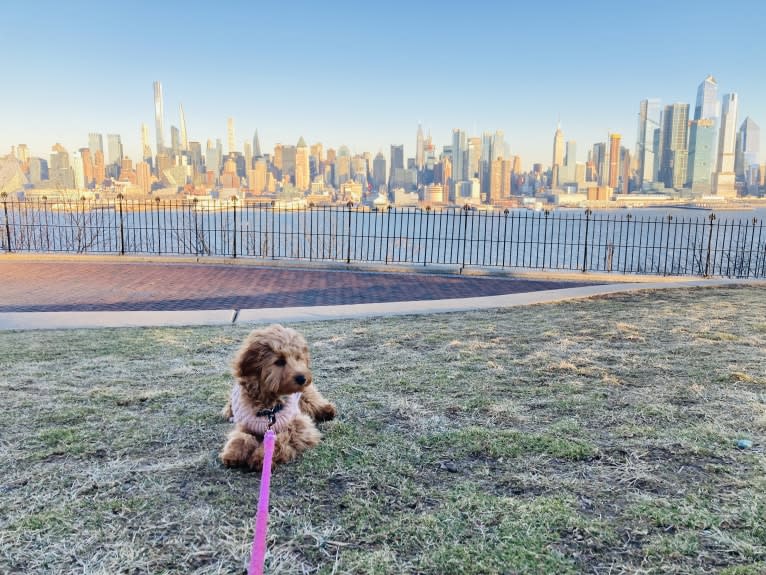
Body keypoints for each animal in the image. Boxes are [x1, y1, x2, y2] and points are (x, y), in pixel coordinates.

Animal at [218, 326, 334, 470]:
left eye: (298, 358)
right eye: (279, 361)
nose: (302, 378)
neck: (269, 408)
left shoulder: (299, 424)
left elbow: (281, 439)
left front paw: (261, 457)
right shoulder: (246, 424)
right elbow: (241, 436)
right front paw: (233, 453)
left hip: (305, 396)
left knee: (313, 400)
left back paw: (327, 411)